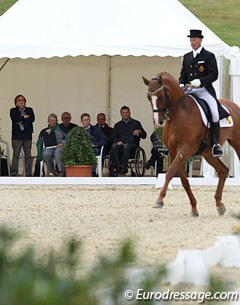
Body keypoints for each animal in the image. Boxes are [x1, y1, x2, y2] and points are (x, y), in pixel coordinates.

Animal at [143, 72, 240, 215]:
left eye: (161, 96)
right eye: (149, 97)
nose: (158, 121)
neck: (178, 114)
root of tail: (235, 106)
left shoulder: (184, 149)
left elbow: (170, 173)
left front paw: (159, 200)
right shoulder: (174, 152)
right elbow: (184, 180)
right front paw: (194, 209)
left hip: (237, 144)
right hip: (208, 154)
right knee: (223, 171)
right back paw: (219, 205)